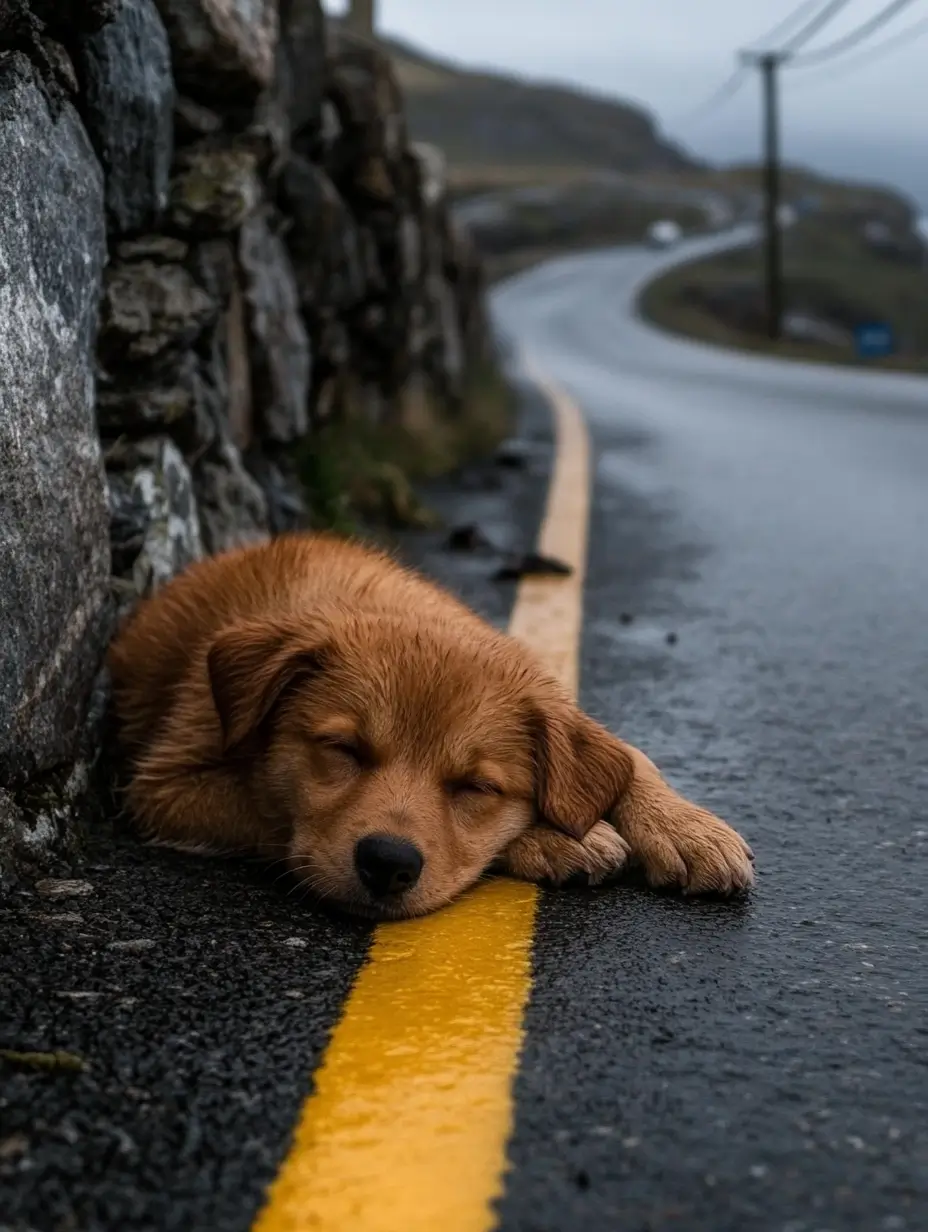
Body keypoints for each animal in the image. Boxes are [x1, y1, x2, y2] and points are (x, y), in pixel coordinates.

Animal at [106, 534, 754, 921]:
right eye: (342, 749)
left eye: (476, 787)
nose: (386, 863)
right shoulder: (164, 782)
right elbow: (268, 808)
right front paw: (560, 838)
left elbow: (628, 755)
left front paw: (687, 829)